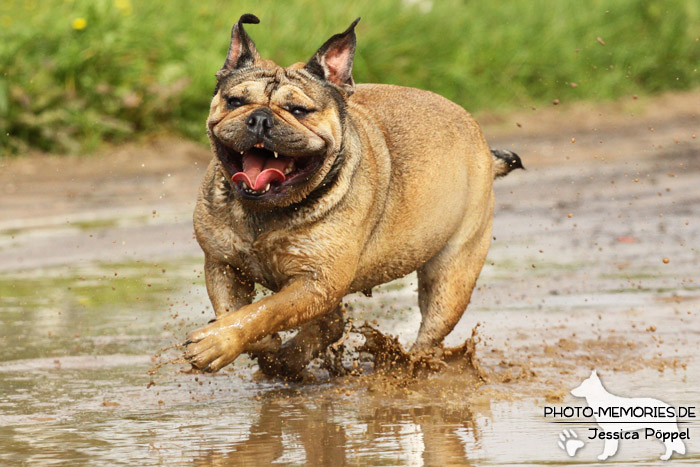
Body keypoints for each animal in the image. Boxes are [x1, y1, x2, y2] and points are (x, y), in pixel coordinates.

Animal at [183, 14, 524, 378]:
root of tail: (485, 149)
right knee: (332, 322)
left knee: (430, 330)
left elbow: (266, 310)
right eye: (235, 101)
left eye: (298, 110)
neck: (267, 211)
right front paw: (263, 345)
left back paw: (411, 366)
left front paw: (216, 343)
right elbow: (233, 311)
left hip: (451, 276)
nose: (260, 118)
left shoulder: (317, 283)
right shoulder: (223, 265)